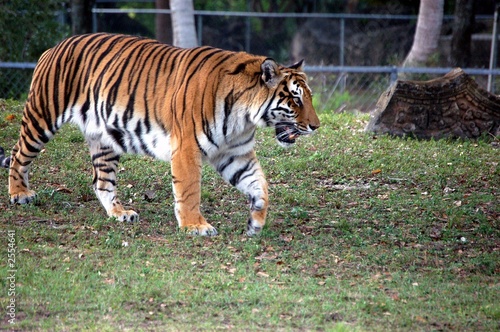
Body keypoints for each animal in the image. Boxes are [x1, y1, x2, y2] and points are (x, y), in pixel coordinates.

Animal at [0, 32, 320, 236]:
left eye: (308, 97)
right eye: (295, 99)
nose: (316, 126)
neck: (244, 117)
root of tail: (54, 47)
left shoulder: (235, 153)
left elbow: (260, 185)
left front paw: (256, 221)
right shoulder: (187, 148)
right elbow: (189, 190)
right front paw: (195, 226)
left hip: (104, 140)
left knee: (101, 182)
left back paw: (120, 213)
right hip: (43, 115)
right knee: (18, 153)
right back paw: (19, 194)